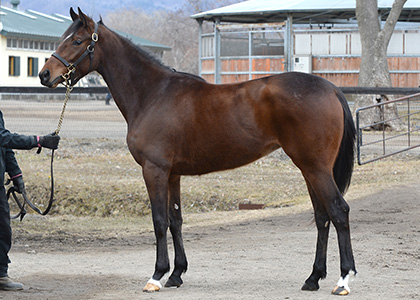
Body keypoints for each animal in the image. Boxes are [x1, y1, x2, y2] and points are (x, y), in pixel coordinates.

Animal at [38, 8, 358, 296]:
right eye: (63, 38)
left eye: (77, 41)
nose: (44, 74)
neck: (153, 94)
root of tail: (332, 89)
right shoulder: (172, 174)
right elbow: (176, 220)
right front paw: (176, 274)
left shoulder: (154, 170)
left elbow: (159, 221)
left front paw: (156, 275)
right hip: (309, 169)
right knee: (322, 216)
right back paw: (313, 278)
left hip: (315, 168)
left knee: (338, 211)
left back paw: (343, 280)